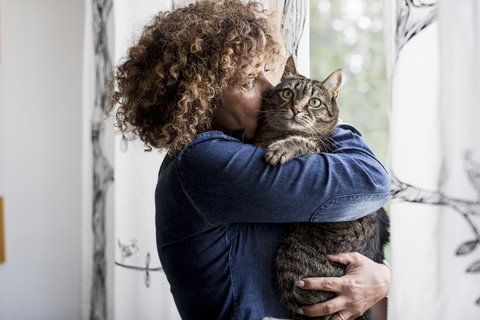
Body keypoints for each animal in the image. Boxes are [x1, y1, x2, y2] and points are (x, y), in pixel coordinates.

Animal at [255, 57, 390, 320]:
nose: (296, 109)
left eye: (314, 102)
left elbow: (304, 142)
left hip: (290, 258)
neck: (276, 133)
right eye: (288, 93)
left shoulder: (321, 150)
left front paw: (281, 148)